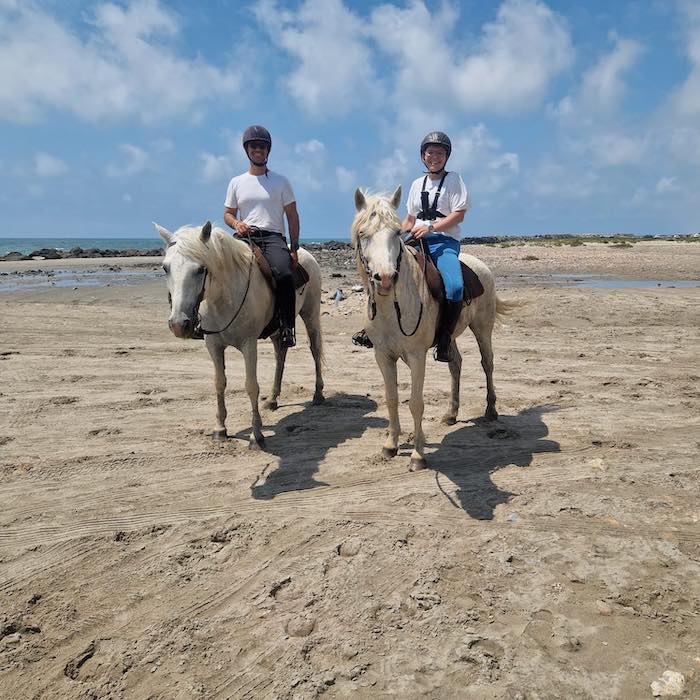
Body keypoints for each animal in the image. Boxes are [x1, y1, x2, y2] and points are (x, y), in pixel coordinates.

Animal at [155, 221, 324, 448]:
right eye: (166, 268)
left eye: (200, 269)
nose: (179, 324)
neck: (224, 298)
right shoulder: (213, 344)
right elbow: (219, 382)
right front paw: (220, 429)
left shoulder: (249, 344)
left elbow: (251, 386)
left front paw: (256, 436)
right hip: (277, 329)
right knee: (280, 355)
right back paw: (273, 399)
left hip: (310, 314)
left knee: (315, 350)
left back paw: (318, 394)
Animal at [352, 187, 511, 471]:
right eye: (363, 234)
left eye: (396, 232)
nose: (385, 279)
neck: (393, 306)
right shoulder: (383, 355)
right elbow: (391, 398)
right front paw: (390, 445)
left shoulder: (417, 356)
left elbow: (416, 403)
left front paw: (418, 455)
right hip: (449, 337)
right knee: (456, 364)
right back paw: (451, 413)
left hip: (482, 328)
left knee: (487, 363)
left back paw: (491, 411)